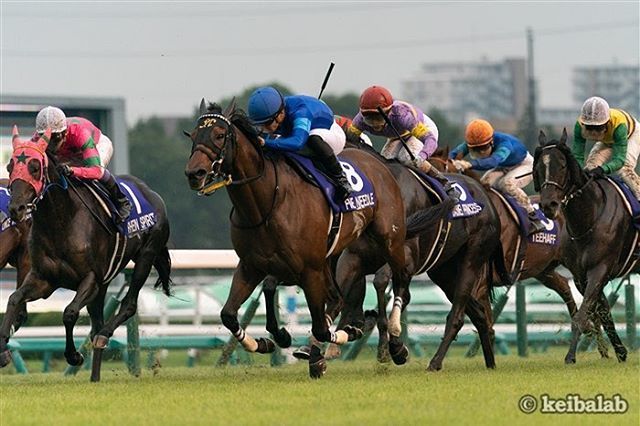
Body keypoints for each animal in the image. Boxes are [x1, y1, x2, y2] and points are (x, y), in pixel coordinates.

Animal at [0, 126, 173, 382]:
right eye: (10, 166)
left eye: (35, 167)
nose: (15, 209)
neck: (61, 221)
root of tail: (153, 194)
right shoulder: (44, 279)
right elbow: (13, 299)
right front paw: (2, 347)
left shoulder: (90, 279)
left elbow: (69, 312)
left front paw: (74, 356)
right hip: (103, 285)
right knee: (96, 324)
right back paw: (95, 377)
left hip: (145, 256)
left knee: (127, 306)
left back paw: (104, 336)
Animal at [184, 100, 419, 378]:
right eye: (193, 135)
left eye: (220, 135)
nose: (194, 173)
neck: (266, 204)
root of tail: (379, 163)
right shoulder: (252, 266)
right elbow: (229, 314)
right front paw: (266, 342)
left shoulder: (309, 269)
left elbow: (320, 326)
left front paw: (326, 348)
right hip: (337, 255)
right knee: (340, 297)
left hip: (389, 239)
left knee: (400, 281)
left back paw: (396, 344)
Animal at [533, 129, 634, 364]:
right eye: (539, 167)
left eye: (562, 165)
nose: (549, 205)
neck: (589, 217)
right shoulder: (581, 275)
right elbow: (601, 310)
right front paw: (620, 351)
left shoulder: (600, 269)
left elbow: (582, 314)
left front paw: (570, 356)